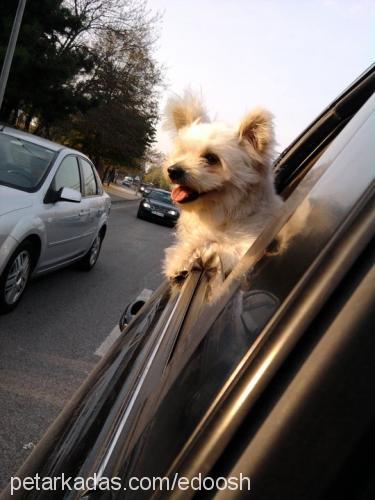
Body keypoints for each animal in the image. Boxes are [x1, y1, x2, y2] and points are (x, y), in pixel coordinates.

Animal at [163, 93, 284, 292]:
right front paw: (179, 260)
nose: (173, 170)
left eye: (211, 158)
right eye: (183, 152)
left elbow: (213, 245)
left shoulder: (244, 249)